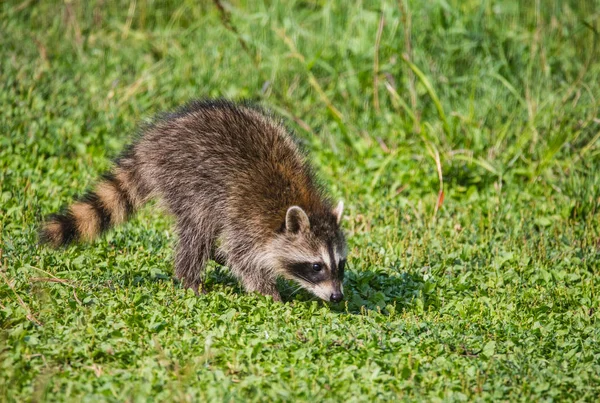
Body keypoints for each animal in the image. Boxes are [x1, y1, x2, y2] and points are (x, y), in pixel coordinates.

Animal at [41, 100, 346, 304]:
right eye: (316, 267)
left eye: (341, 264)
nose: (337, 297)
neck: (301, 203)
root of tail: (152, 142)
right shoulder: (248, 218)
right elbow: (243, 257)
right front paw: (269, 294)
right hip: (184, 177)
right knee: (197, 228)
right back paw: (190, 280)